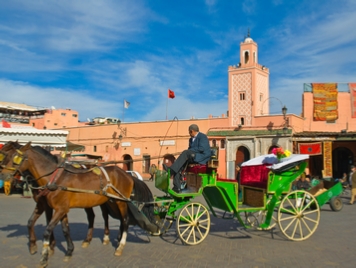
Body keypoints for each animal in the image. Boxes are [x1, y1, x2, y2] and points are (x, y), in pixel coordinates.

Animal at [0, 141, 159, 266]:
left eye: (16, 158)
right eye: (4, 156)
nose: (3, 175)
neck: (54, 178)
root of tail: (126, 174)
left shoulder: (59, 209)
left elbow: (47, 230)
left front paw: (45, 255)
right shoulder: (52, 207)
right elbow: (47, 226)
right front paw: (57, 249)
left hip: (121, 201)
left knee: (125, 220)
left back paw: (120, 246)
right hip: (110, 200)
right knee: (110, 218)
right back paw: (110, 239)